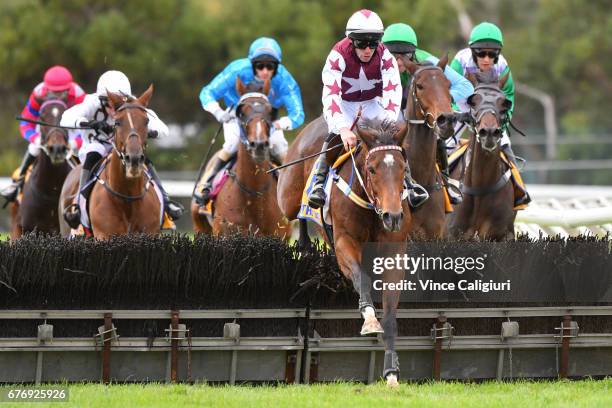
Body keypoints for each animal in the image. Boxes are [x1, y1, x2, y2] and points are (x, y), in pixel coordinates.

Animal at [278, 115, 412, 386]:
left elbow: (390, 313)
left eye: (403, 168)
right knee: (295, 212)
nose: (393, 217)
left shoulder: (395, 252)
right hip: (287, 197)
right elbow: (362, 278)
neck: (372, 208)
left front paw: (391, 373)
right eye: (372, 169)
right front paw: (370, 319)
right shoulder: (343, 243)